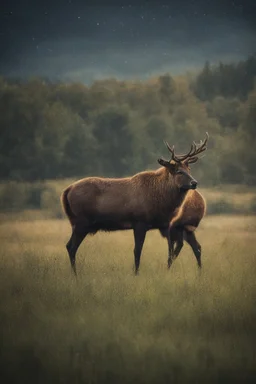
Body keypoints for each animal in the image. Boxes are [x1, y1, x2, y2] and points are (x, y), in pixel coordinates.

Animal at [61, 134, 209, 274]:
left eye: (189, 170)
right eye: (179, 171)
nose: (194, 183)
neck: (163, 204)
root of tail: (67, 190)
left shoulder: (166, 225)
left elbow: (169, 251)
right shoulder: (139, 222)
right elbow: (137, 251)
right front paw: (136, 273)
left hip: (77, 223)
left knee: (69, 246)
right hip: (82, 222)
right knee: (72, 247)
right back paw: (75, 275)